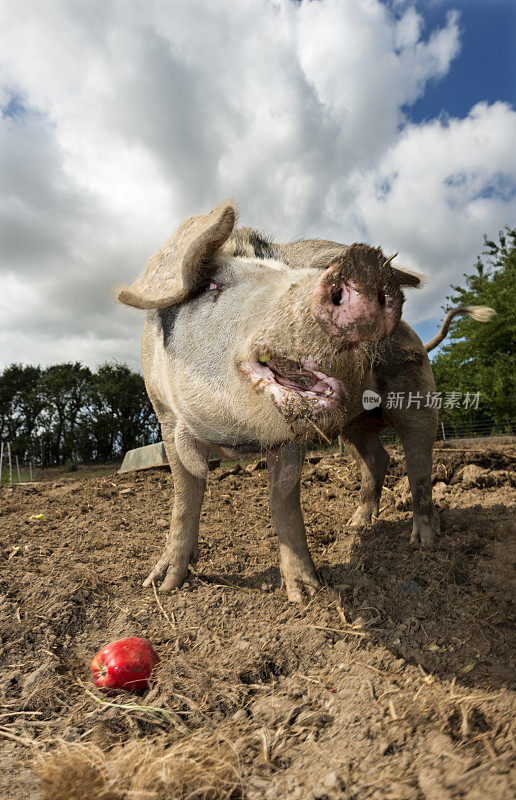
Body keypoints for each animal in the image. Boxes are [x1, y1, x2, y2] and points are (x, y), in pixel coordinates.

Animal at [119, 200, 494, 600]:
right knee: (378, 458)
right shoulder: (165, 419)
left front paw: (306, 593)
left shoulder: (290, 438)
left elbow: (283, 501)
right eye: (209, 284)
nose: (365, 262)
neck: (233, 438)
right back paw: (357, 525)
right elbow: (184, 498)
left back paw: (423, 541)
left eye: (288, 271)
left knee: (418, 462)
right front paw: (160, 584)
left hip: (417, 393)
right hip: (357, 425)